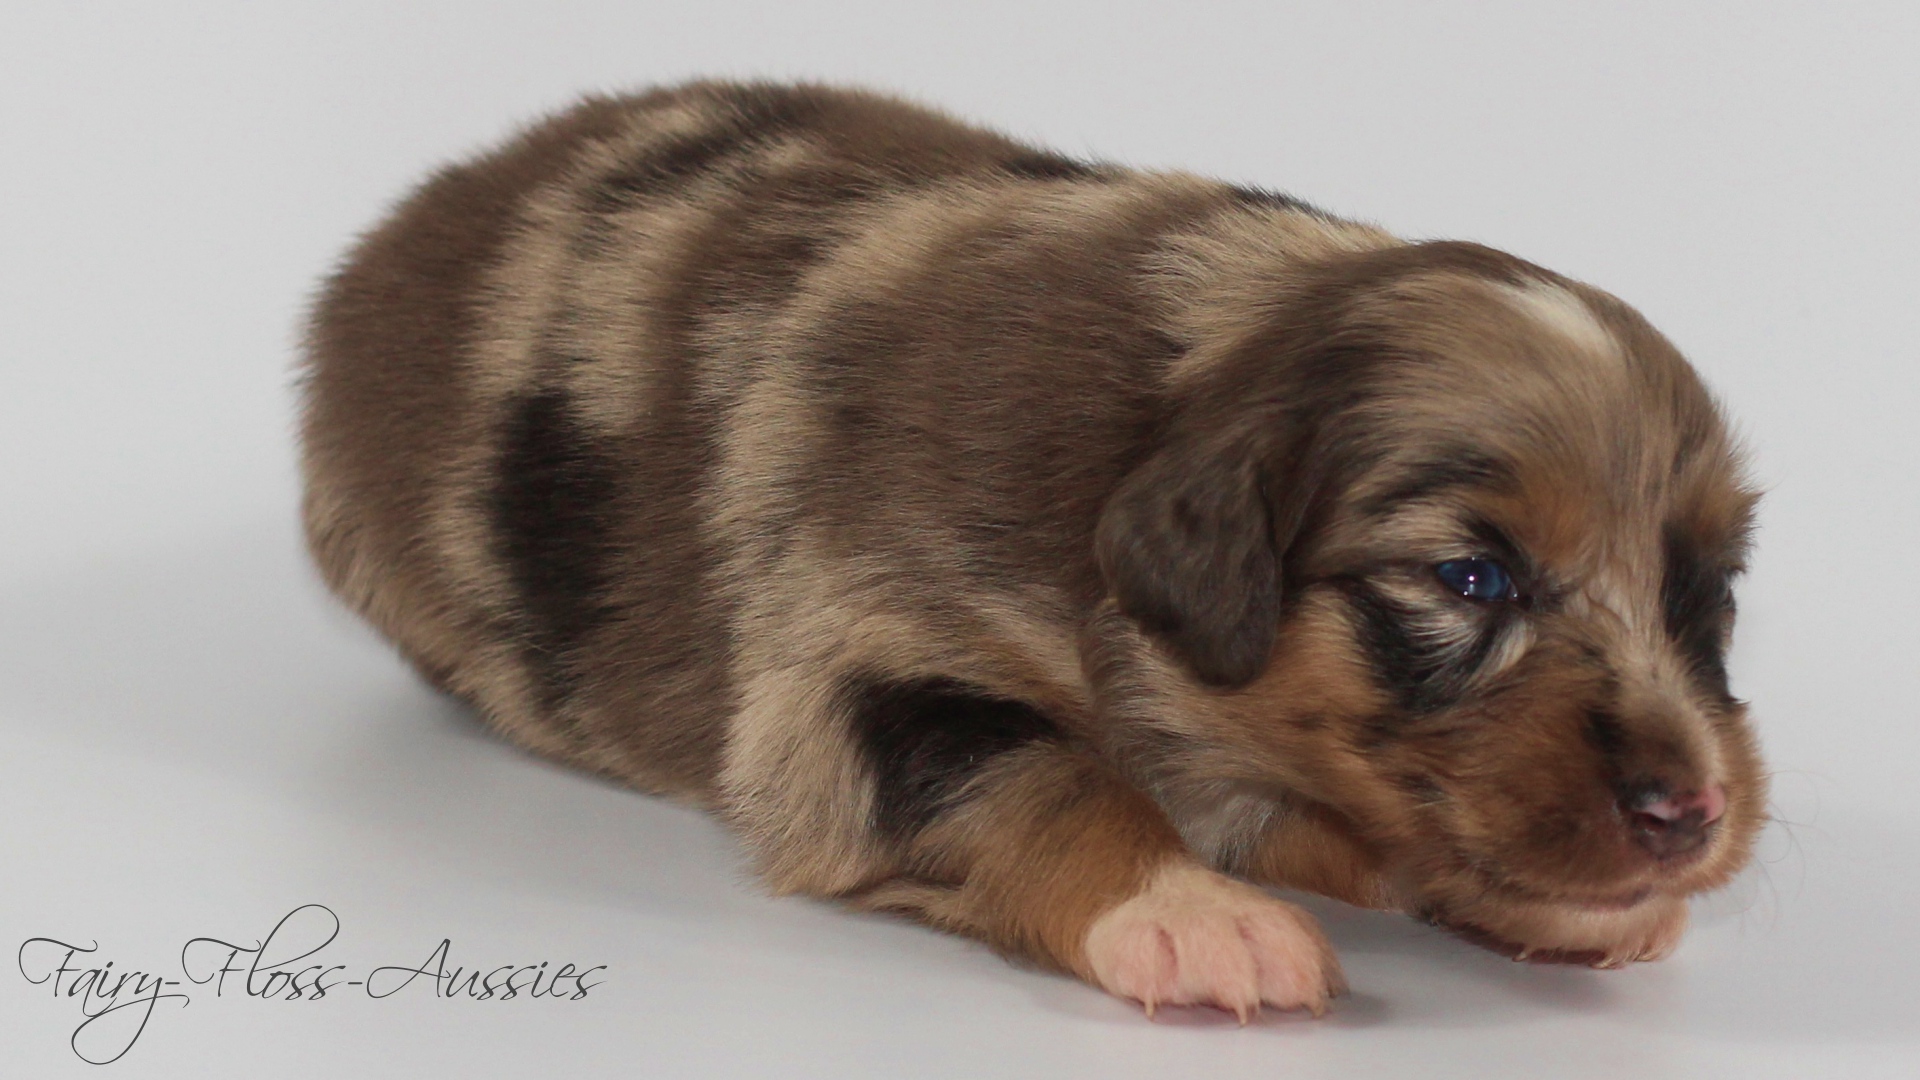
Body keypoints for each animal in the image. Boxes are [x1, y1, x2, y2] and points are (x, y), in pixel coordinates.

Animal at [299, 81, 1764, 1020]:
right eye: (1472, 579)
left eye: (1710, 593)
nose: (1691, 814)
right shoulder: (844, 668)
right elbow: (1037, 767)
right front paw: (1195, 917)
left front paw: (1562, 907)